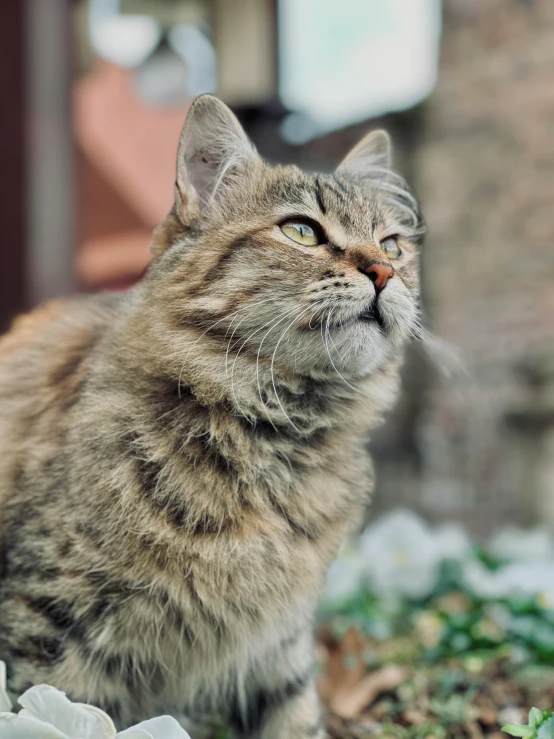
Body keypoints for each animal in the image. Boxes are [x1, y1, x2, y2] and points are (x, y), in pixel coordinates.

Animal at [0, 95, 422, 736]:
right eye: (302, 231)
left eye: (393, 245)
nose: (384, 272)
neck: (277, 441)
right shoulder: (45, 622)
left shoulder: (277, 642)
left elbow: (296, 720)